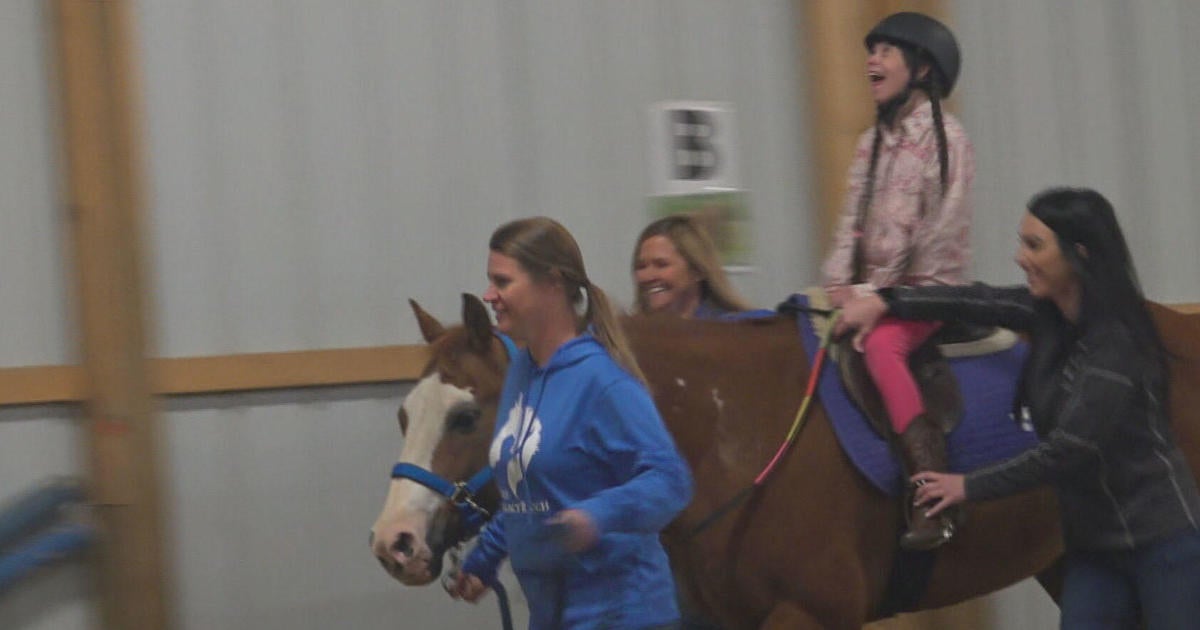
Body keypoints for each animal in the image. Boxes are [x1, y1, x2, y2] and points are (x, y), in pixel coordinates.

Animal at [369, 295, 1195, 628]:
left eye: (467, 416)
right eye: (406, 415)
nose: (394, 542)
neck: (727, 431)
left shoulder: (812, 613)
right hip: (1071, 558)